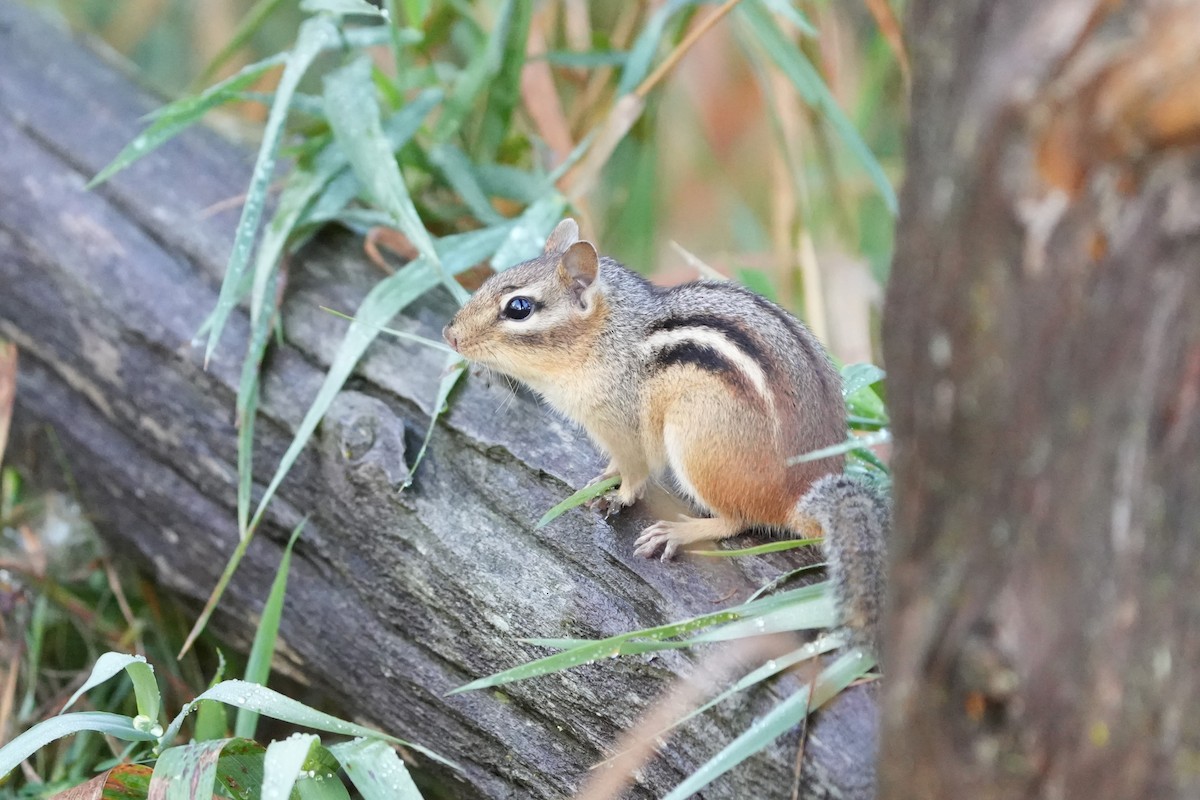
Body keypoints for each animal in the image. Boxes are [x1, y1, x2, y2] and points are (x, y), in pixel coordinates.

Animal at [443, 219, 889, 652]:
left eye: (518, 308)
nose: (450, 335)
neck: (607, 339)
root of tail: (802, 496)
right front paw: (604, 476)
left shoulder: (621, 424)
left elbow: (637, 471)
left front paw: (618, 495)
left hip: (696, 439)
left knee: (737, 520)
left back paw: (679, 531)